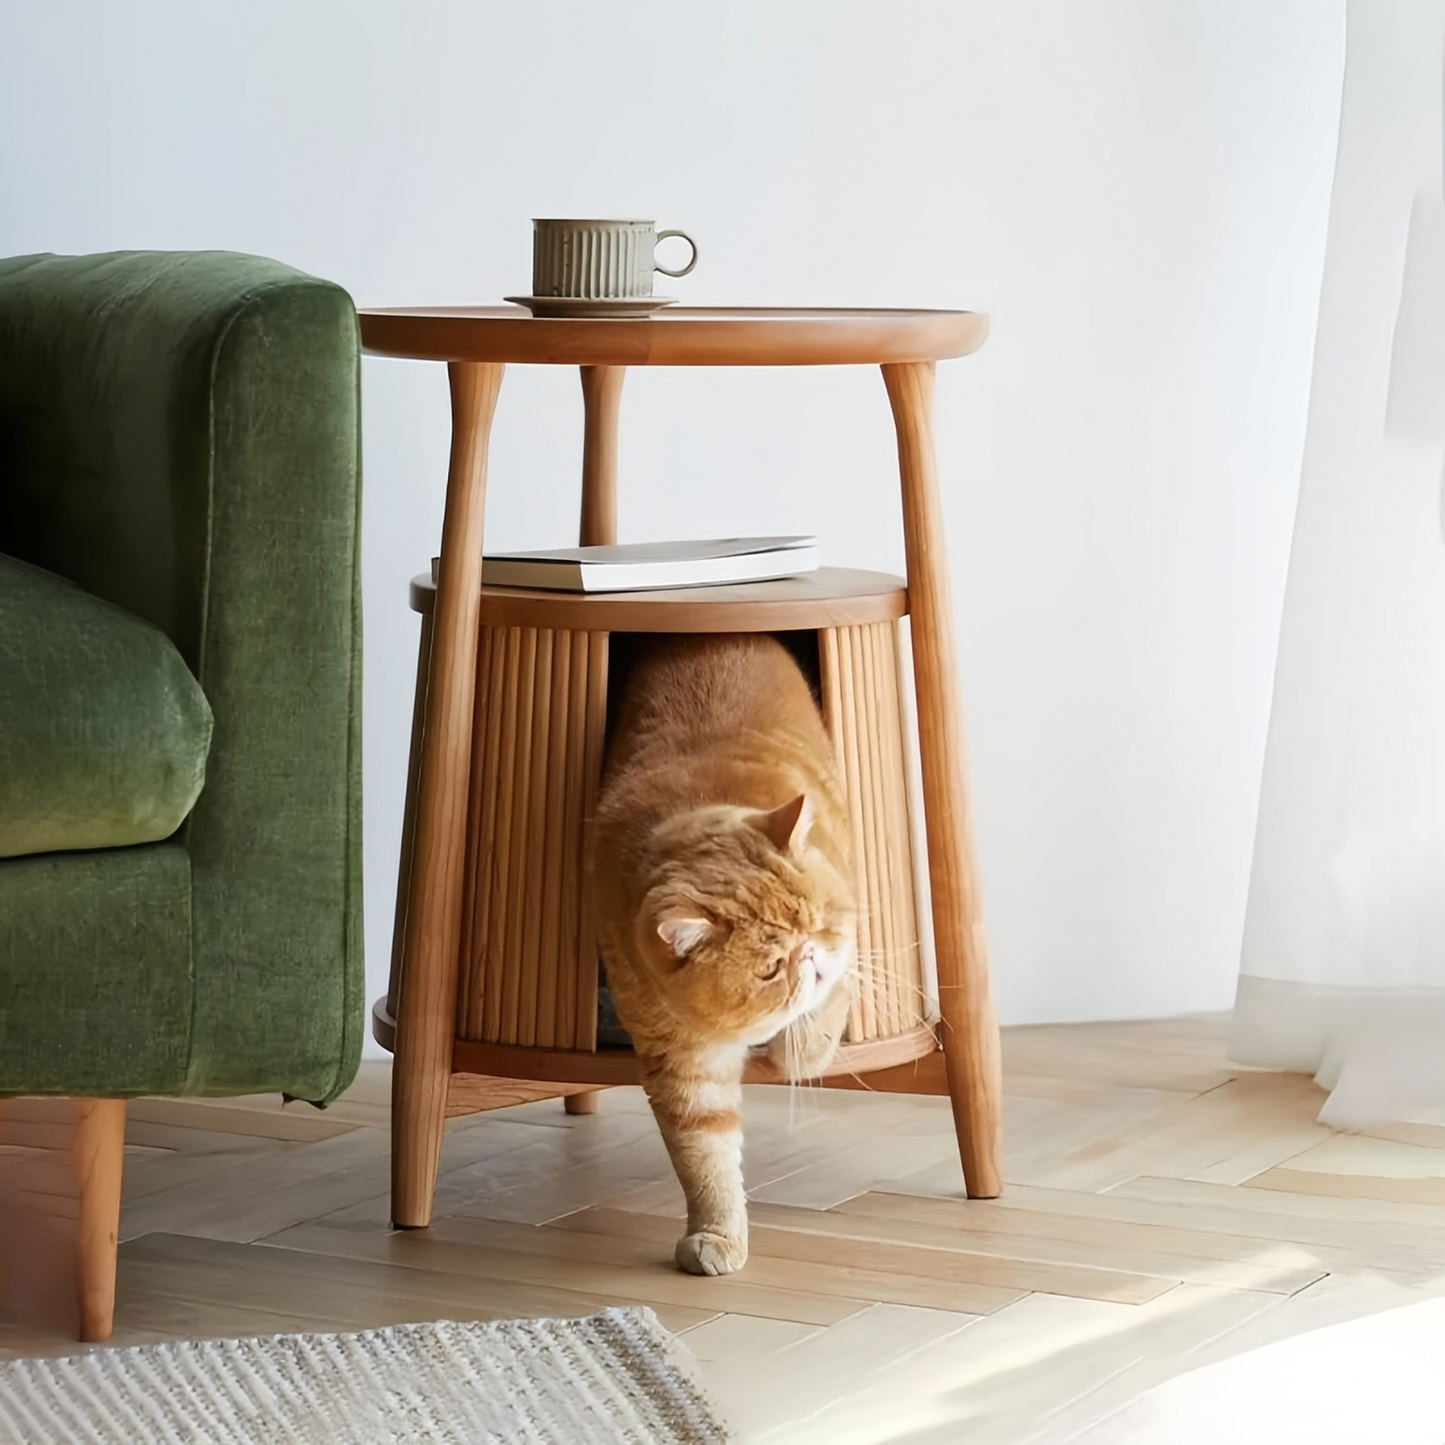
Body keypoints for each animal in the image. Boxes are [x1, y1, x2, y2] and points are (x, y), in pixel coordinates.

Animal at [589, 632, 849, 1277]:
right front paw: (718, 1232)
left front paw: (799, 1050)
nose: (810, 957)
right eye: (771, 967)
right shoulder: (684, 1062)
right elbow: (703, 1154)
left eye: (817, 923)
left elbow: (824, 1018)